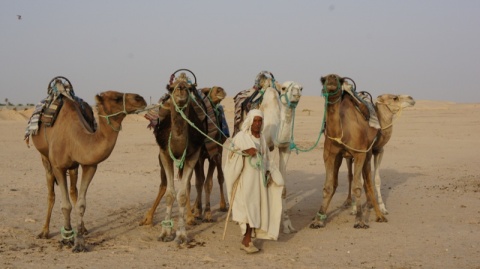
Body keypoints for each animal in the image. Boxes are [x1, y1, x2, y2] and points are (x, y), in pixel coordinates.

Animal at [30, 76, 146, 250]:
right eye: (116, 98)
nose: (141, 98)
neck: (75, 137)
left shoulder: (89, 165)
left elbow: (81, 204)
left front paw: (79, 241)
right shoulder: (58, 166)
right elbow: (65, 205)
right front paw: (66, 238)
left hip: (73, 167)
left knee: (73, 190)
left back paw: (83, 228)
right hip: (45, 157)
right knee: (51, 192)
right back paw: (44, 231)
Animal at [139, 71, 206, 243]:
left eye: (190, 88)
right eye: (170, 88)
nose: (181, 88)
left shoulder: (193, 155)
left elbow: (181, 194)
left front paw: (181, 234)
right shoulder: (164, 154)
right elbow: (170, 194)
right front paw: (164, 232)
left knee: (189, 184)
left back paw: (190, 217)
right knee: (163, 184)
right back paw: (148, 218)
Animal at [233, 71, 304, 232]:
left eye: (301, 88)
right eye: (283, 88)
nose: (296, 92)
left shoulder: (284, 148)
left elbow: (283, 186)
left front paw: (287, 224)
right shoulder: (265, 146)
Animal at [310, 73, 388, 228]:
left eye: (339, 79)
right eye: (323, 79)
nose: (331, 78)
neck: (341, 132)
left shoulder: (359, 153)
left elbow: (358, 186)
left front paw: (359, 219)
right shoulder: (329, 155)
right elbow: (328, 186)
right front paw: (318, 219)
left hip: (368, 152)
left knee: (368, 180)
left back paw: (379, 215)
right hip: (343, 157)